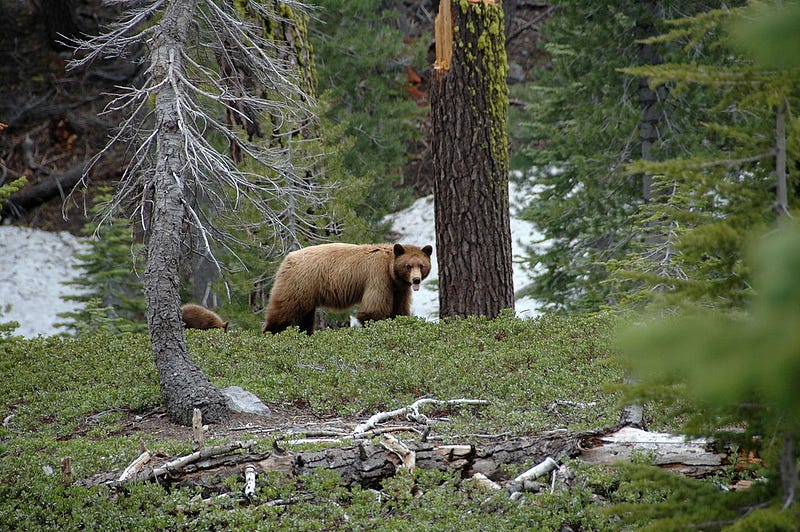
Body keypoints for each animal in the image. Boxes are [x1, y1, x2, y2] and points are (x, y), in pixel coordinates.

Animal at [262, 243, 432, 334]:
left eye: (421, 265)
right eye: (408, 266)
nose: (416, 280)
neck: (391, 271)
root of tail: (287, 259)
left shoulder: (398, 290)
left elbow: (399, 311)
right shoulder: (378, 278)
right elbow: (372, 310)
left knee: (304, 318)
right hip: (299, 284)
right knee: (285, 312)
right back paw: (270, 333)